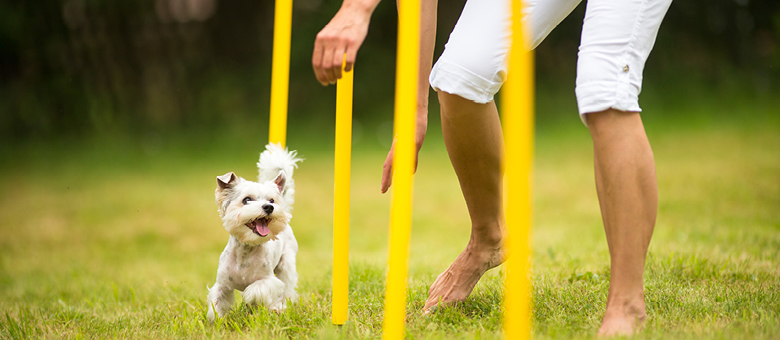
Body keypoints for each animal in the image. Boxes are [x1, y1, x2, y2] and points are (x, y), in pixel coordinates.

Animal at [207, 143, 302, 322]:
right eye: (247, 200)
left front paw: (251, 300)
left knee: (286, 288)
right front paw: (216, 320)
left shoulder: (269, 280)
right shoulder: (222, 284)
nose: (269, 207)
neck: (247, 249)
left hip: (286, 263)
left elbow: (256, 289)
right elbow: (216, 301)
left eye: (272, 200)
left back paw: (279, 307)